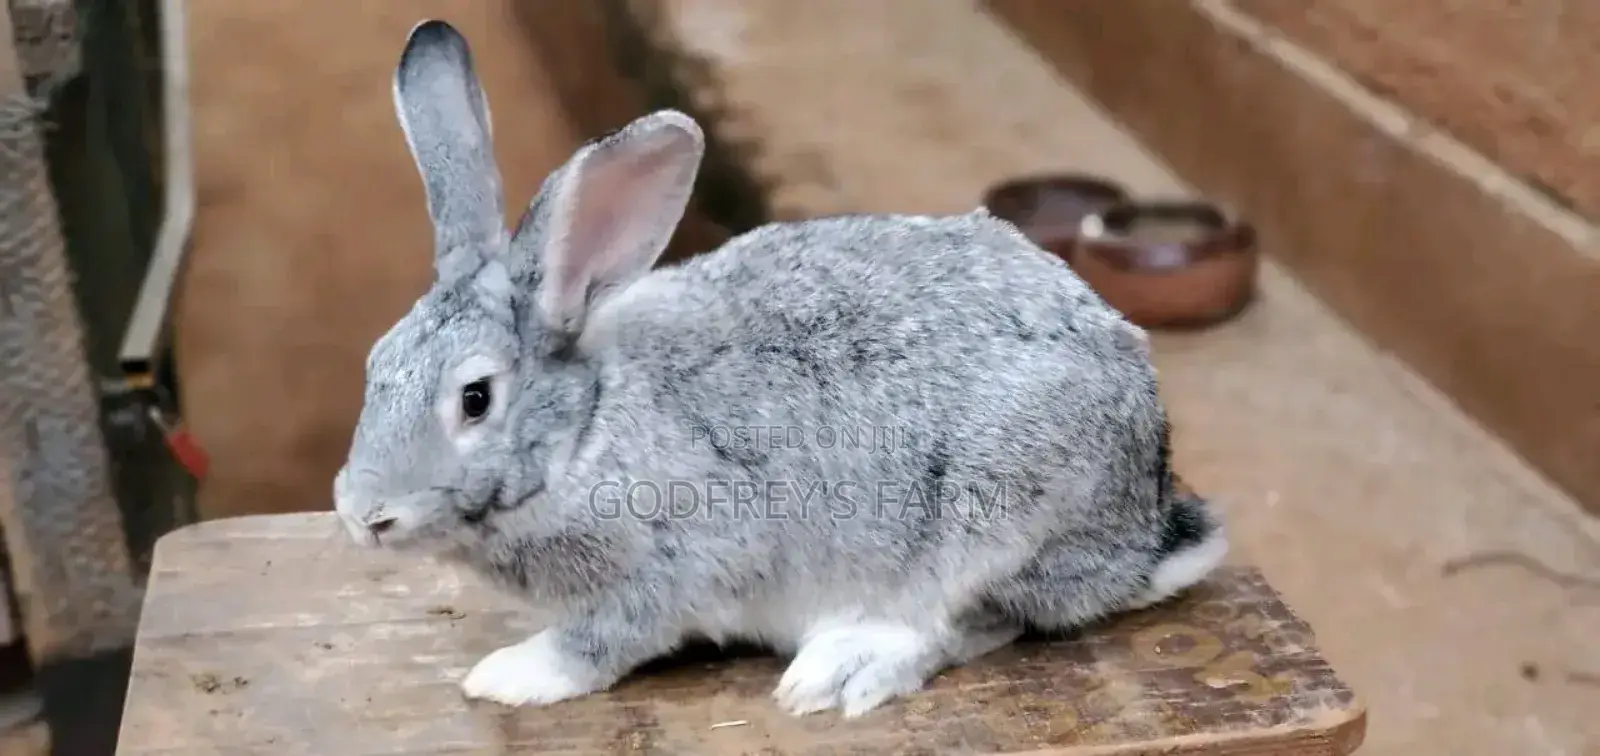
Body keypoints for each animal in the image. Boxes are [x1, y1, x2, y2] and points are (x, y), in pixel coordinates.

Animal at [332, 18, 1229, 719]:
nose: (364, 515)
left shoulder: (668, 565)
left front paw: (511, 675)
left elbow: (599, 642)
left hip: (997, 517)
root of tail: (1143, 530)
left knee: (972, 619)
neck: (584, 430)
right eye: (376, 363)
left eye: (476, 399)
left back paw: (845, 667)